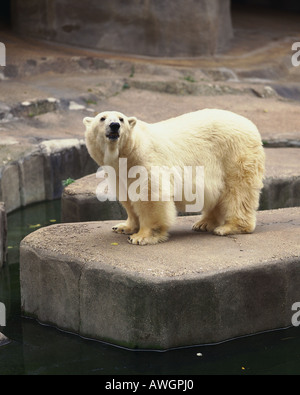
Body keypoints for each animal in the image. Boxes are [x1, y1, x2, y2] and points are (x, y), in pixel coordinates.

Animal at [84, 110, 264, 246]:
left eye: (121, 119)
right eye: (102, 118)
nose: (114, 125)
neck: (128, 153)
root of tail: (250, 125)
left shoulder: (145, 160)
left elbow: (150, 195)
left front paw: (142, 237)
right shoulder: (119, 172)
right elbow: (128, 197)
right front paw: (123, 227)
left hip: (234, 154)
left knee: (238, 191)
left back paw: (229, 227)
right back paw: (204, 223)